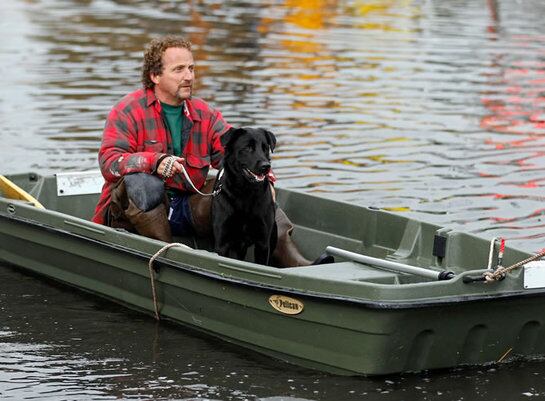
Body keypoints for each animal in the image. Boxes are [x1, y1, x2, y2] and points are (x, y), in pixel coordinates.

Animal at [211, 127, 276, 266]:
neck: (245, 193)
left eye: (265, 148)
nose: (266, 166)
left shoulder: (263, 244)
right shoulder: (222, 243)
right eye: (247, 148)